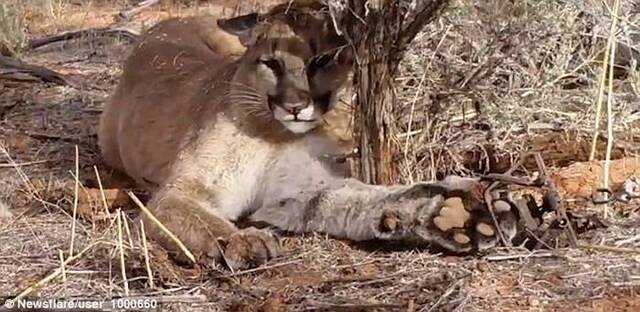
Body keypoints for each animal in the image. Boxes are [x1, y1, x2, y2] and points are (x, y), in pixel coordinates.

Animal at [101, 1, 520, 270]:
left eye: (321, 61)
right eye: (271, 63)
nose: (294, 106)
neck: (274, 133)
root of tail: (164, 24)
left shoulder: (296, 190)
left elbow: (357, 198)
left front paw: (452, 216)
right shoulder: (181, 192)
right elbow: (204, 221)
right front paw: (242, 240)